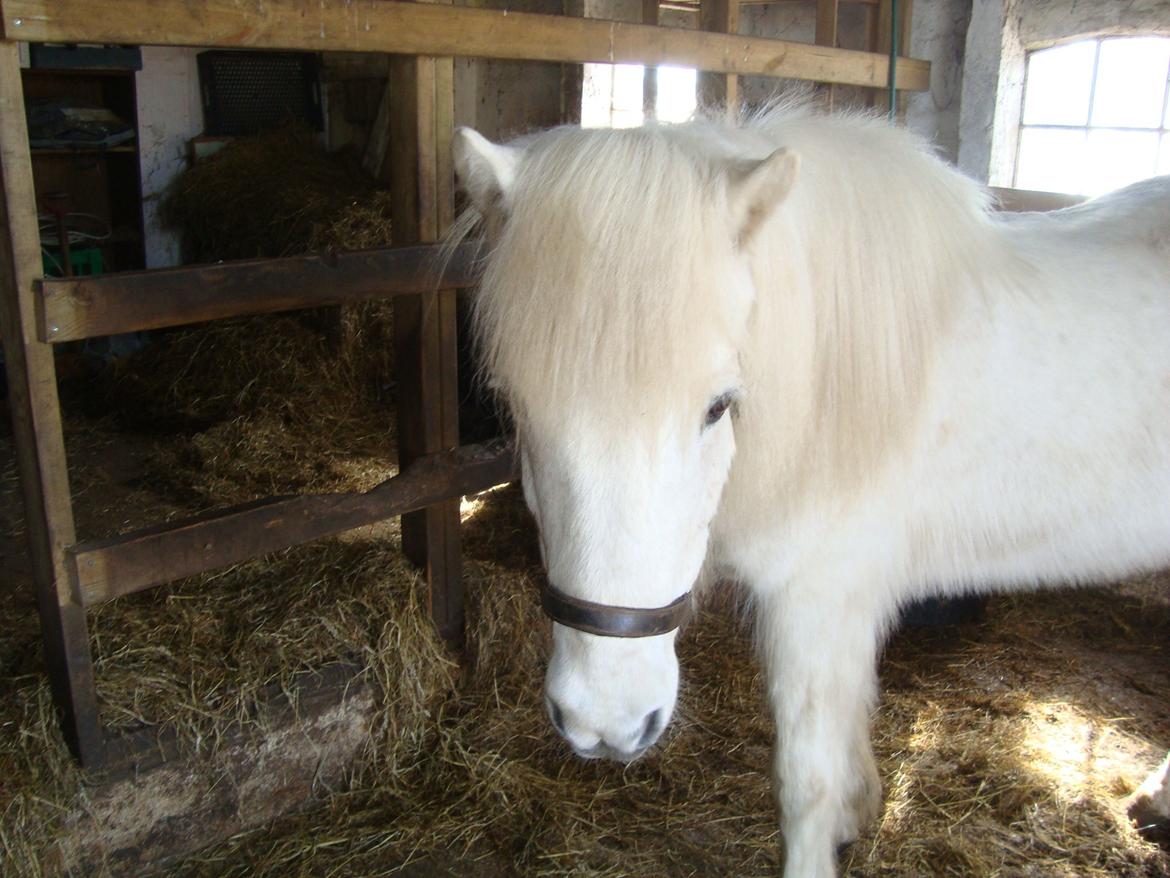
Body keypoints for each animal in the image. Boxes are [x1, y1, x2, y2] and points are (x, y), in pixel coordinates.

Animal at [451, 104, 1170, 878]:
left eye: (718, 406)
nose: (604, 721)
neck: (835, 384)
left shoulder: (820, 602)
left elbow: (805, 783)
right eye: (517, 409)